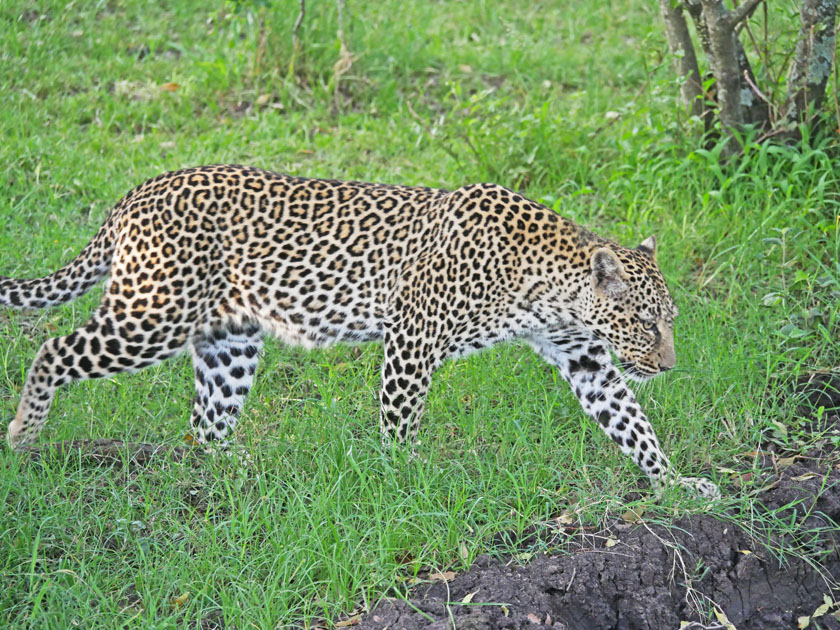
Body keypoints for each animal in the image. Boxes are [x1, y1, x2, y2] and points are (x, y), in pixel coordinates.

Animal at [3, 165, 720, 502]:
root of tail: (135, 193)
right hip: (153, 314)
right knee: (51, 349)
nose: (670, 365)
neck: (551, 291)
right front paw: (407, 481)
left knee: (207, 426)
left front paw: (674, 484)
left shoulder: (588, 359)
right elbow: (399, 422)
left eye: (669, 322)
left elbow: (631, 422)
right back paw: (23, 434)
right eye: (646, 321)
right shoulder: (412, 339)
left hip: (230, 340)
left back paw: (238, 476)